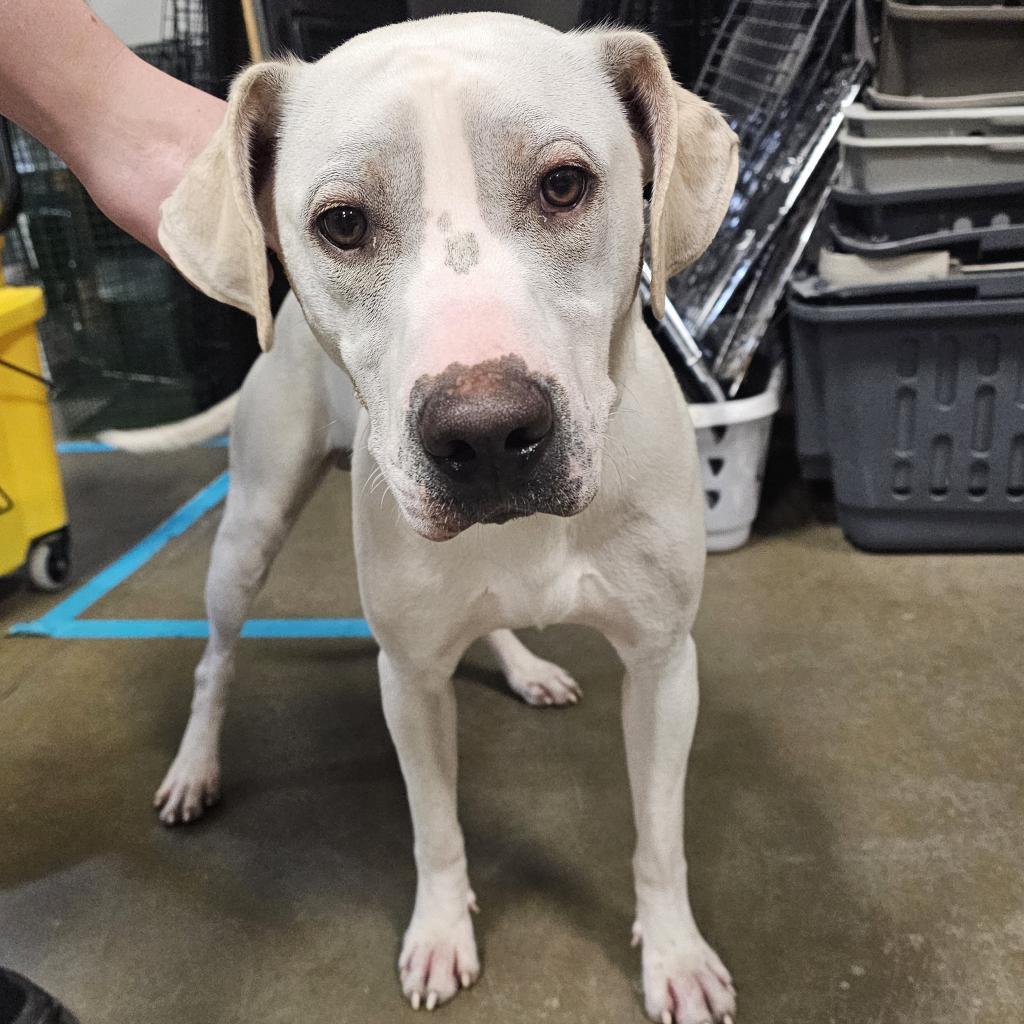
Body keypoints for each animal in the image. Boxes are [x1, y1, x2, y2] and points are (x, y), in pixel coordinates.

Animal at [105, 16, 737, 1024]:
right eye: (342, 224)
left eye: (566, 184)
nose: (486, 434)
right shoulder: (406, 681)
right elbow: (435, 827)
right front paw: (441, 933)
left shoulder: (663, 666)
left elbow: (659, 836)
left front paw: (674, 952)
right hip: (247, 538)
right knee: (216, 661)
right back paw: (195, 768)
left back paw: (525, 667)